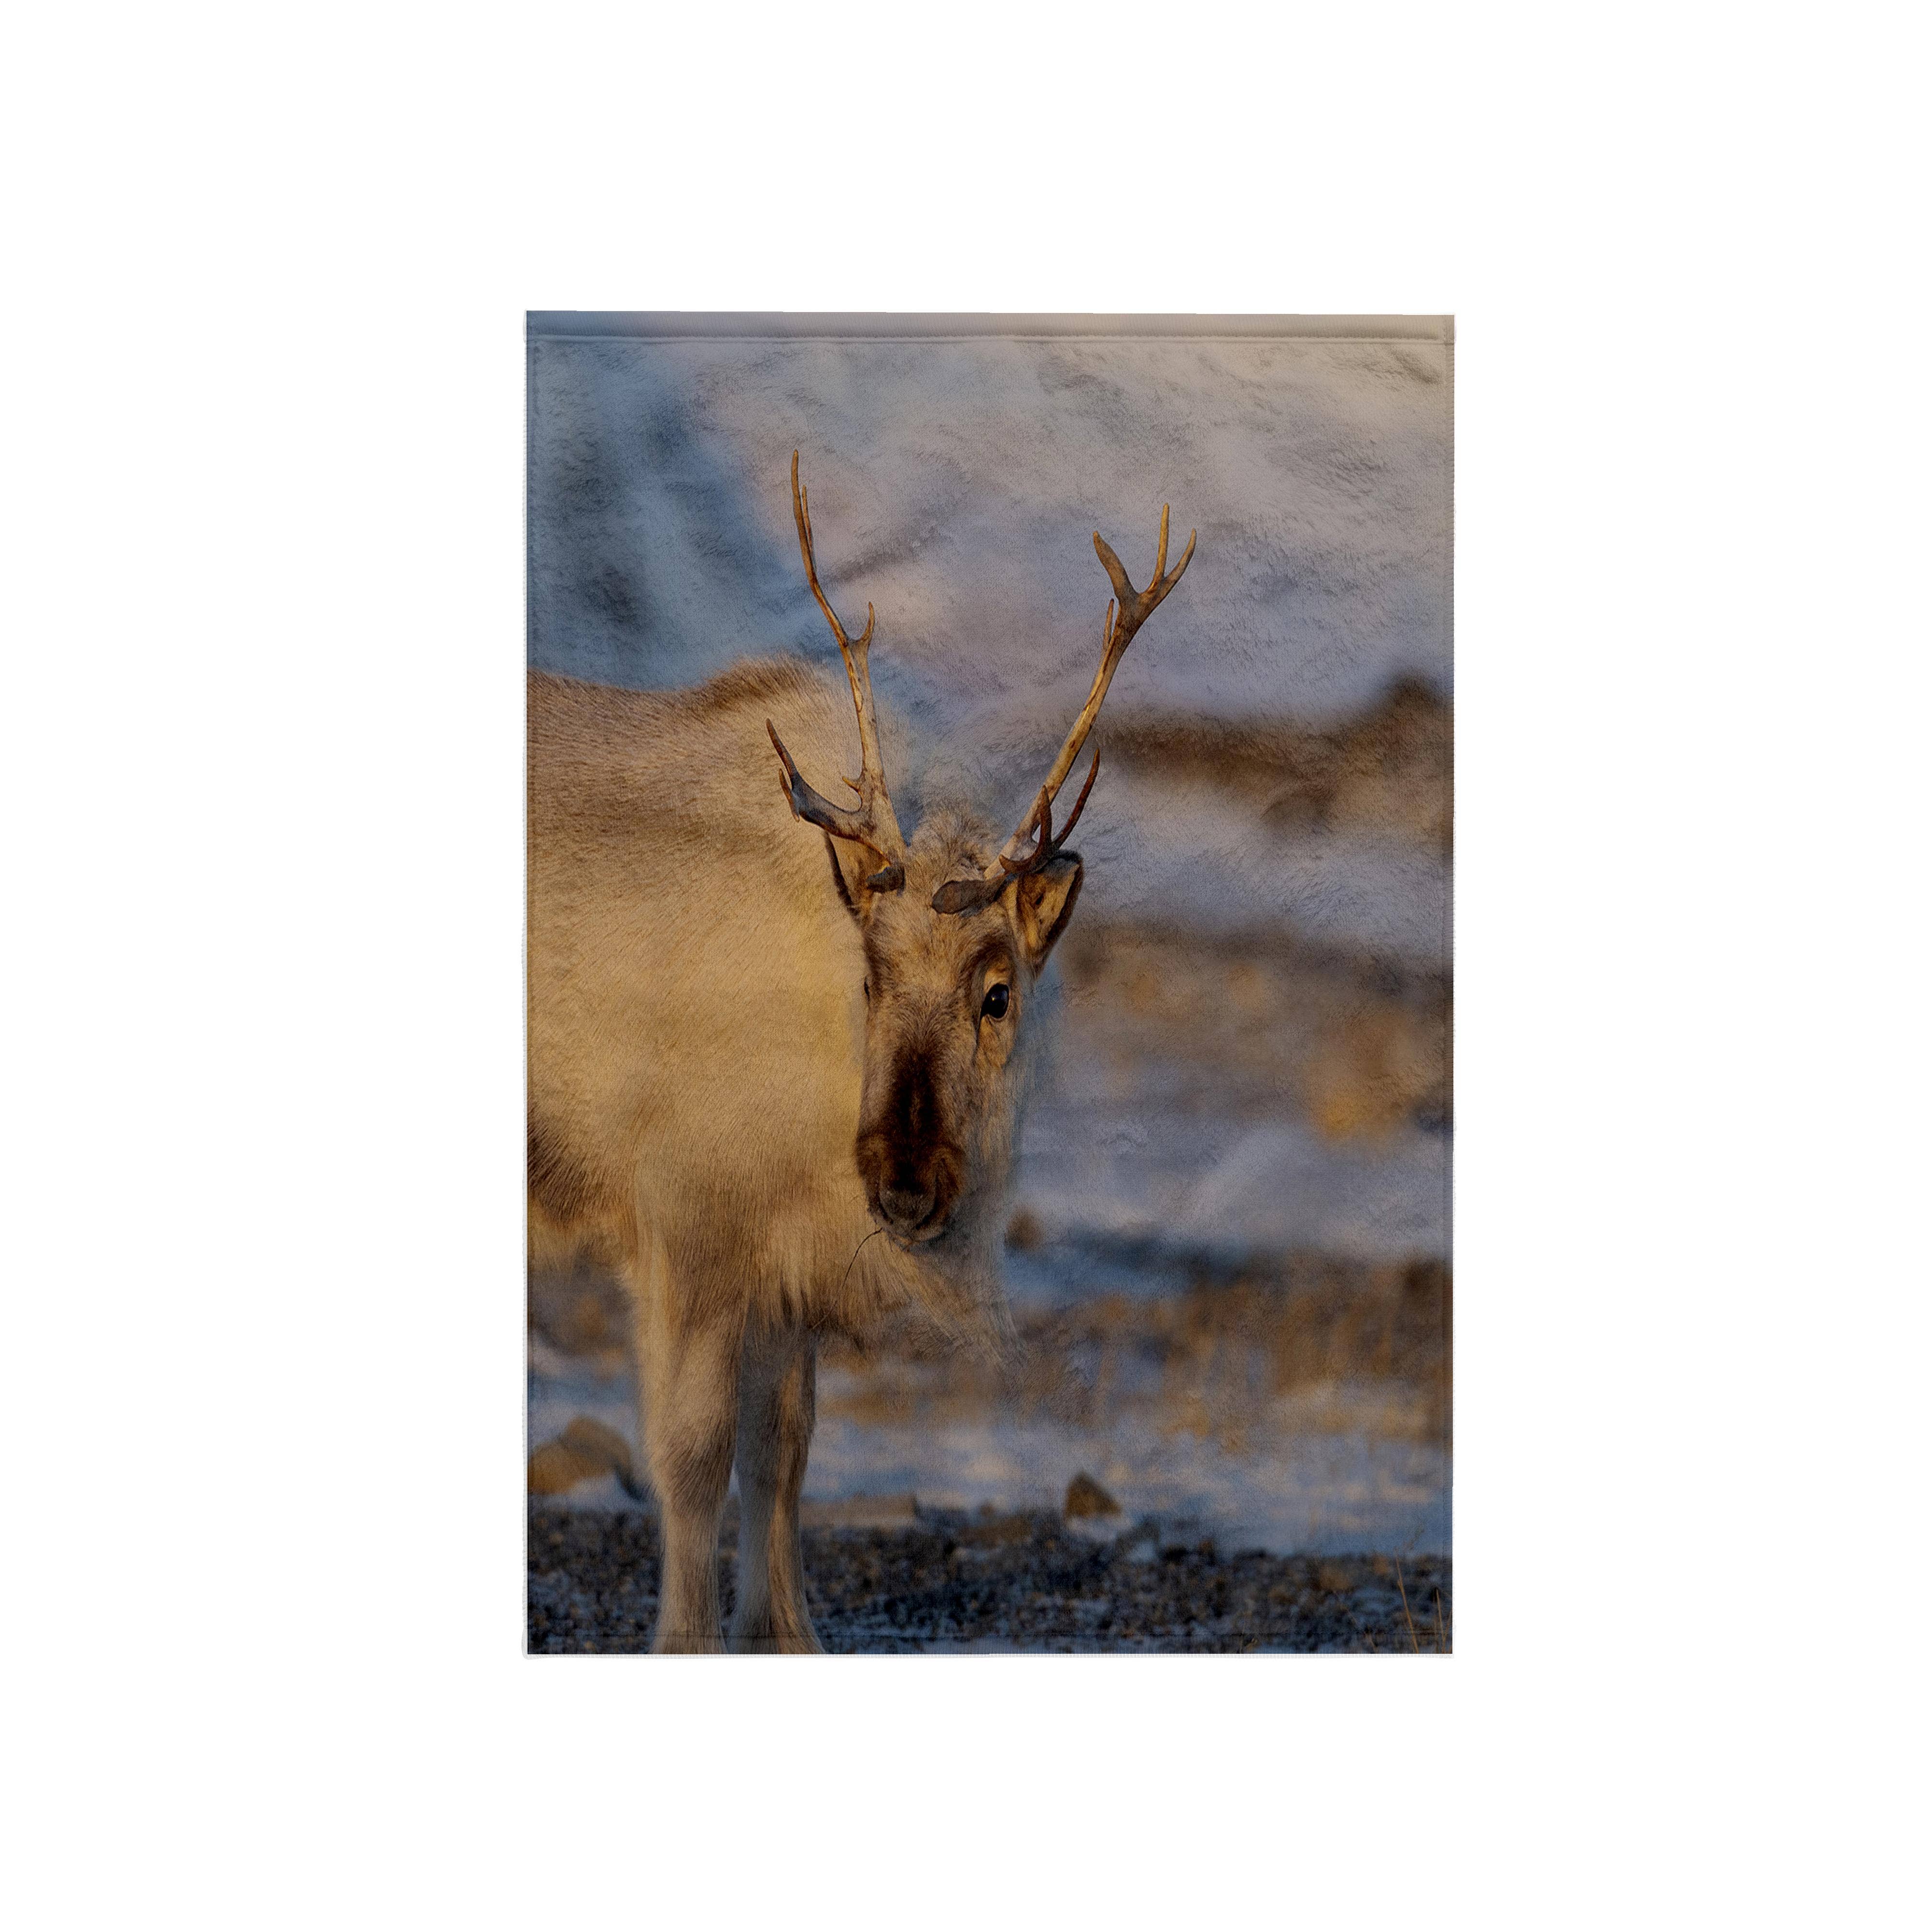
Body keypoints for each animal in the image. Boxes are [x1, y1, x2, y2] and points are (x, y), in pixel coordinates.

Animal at [527, 453, 1195, 1651]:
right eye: (872, 977)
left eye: (995, 991)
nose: (906, 1181)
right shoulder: (686, 1230)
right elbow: (691, 1460)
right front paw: (687, 1638)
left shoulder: (784, 1270)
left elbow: (784, 1453)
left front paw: (787, 1632)